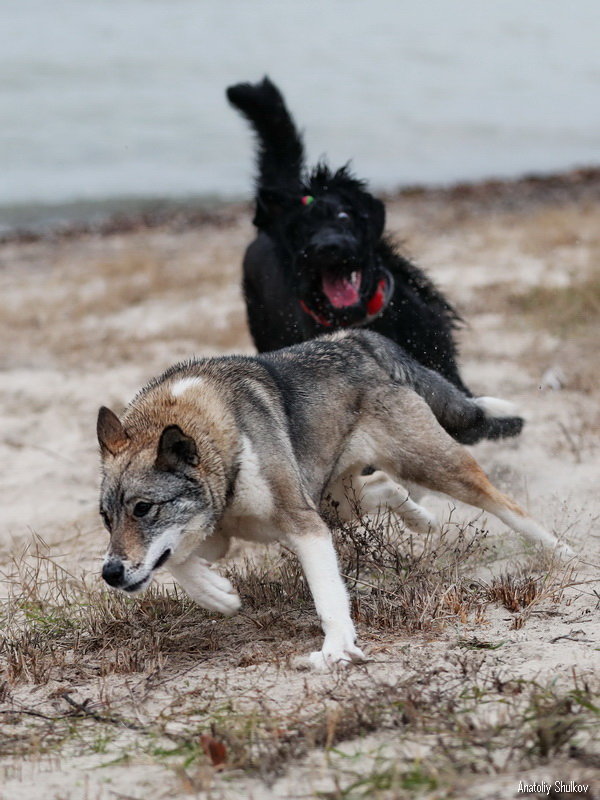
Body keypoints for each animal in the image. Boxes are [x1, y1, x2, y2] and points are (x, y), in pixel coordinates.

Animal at [97, 330, 572, 668]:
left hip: (431, 467)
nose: (110, 573)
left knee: (502, 503)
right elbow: (179, 560)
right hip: (334, 502)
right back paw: (419, 519)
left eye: (143, 508)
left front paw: (337, 649)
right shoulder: (215, 533)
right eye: (106, 518)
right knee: (384, 486)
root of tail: (354, 340)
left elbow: (327, 595)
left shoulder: (303, 524)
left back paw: (560, 551)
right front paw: (218, 595)